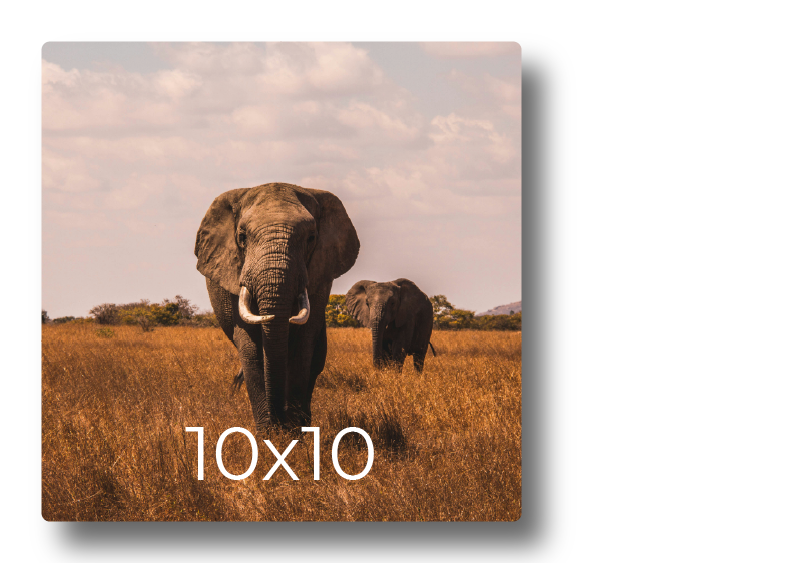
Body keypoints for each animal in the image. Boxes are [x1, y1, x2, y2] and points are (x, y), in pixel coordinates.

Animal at [195, 182, 359, 431]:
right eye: (242, 237)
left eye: (311, 238)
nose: (279, 420)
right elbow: (250, 346)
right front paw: (268, 433)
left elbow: (303, 345)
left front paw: (293, 431)